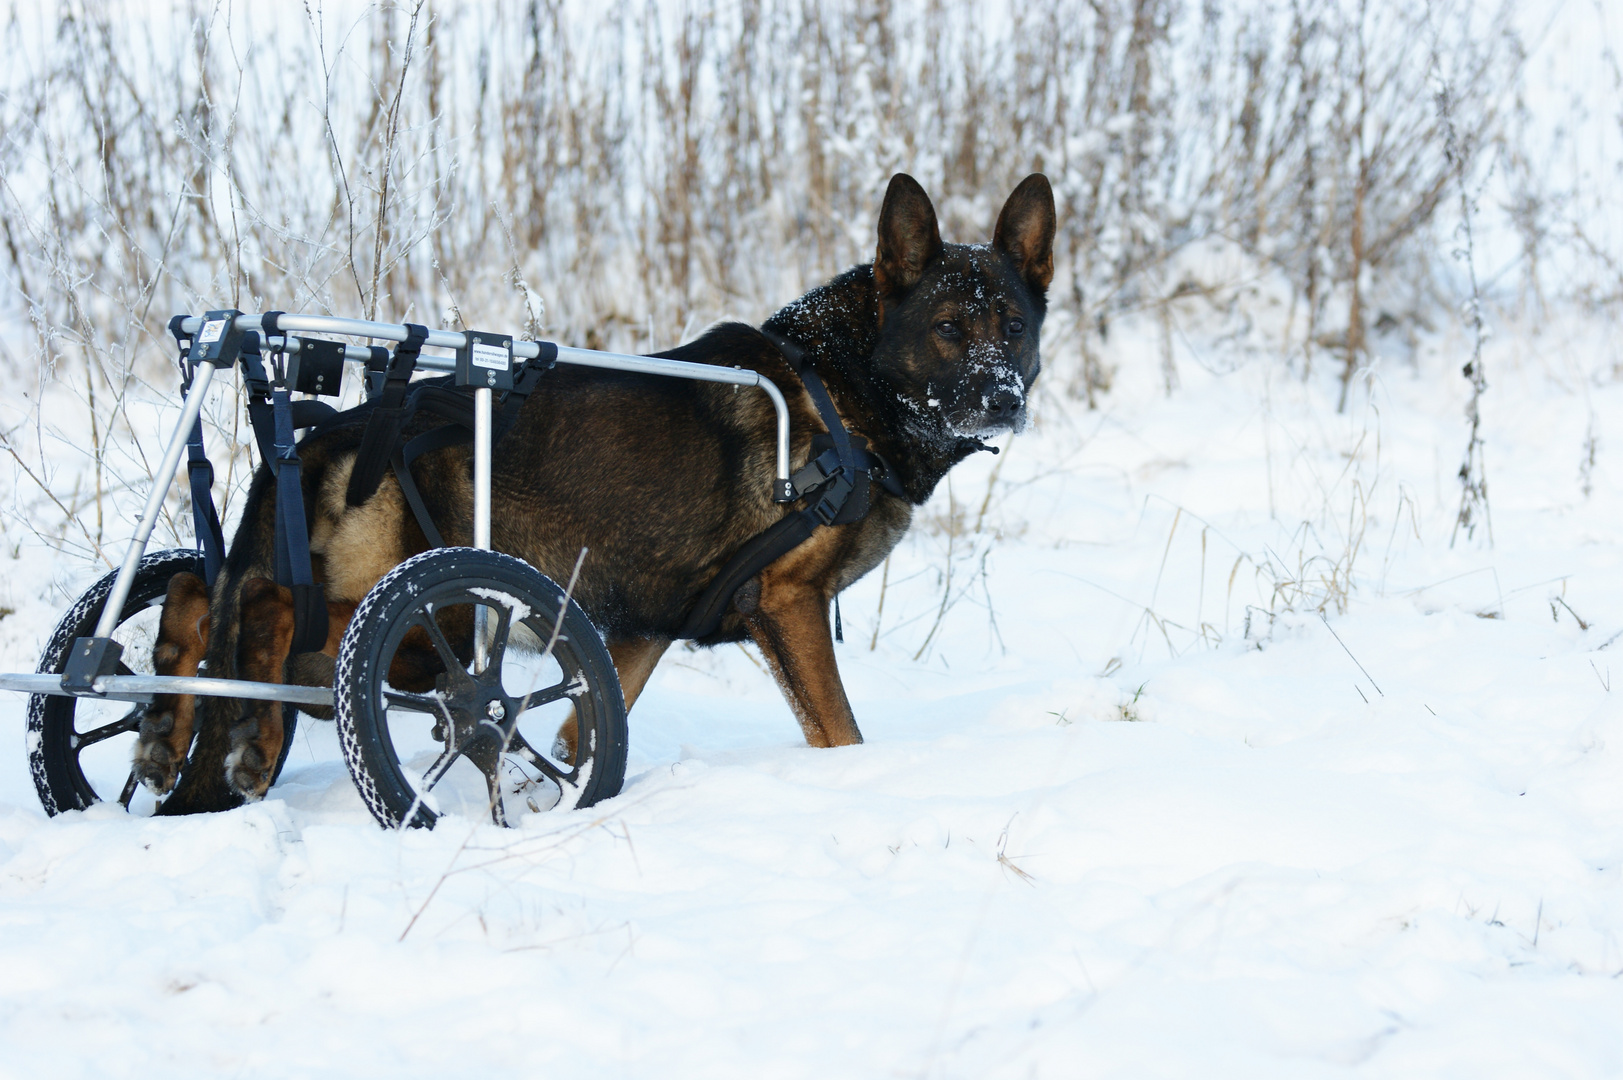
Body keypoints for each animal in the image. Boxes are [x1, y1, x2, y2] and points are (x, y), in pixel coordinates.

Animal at [136, 172, 1051, 812]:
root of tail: (337, 431)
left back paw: (165, 724)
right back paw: (247, 736)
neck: (847, 388)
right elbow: (841, 732)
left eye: (1013, 327)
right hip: (427, 617)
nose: (1004, 398)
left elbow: (581, 726)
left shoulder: (641, 626)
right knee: (269, 611)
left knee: (201, 587)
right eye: (946, 329)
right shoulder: (786, 604)